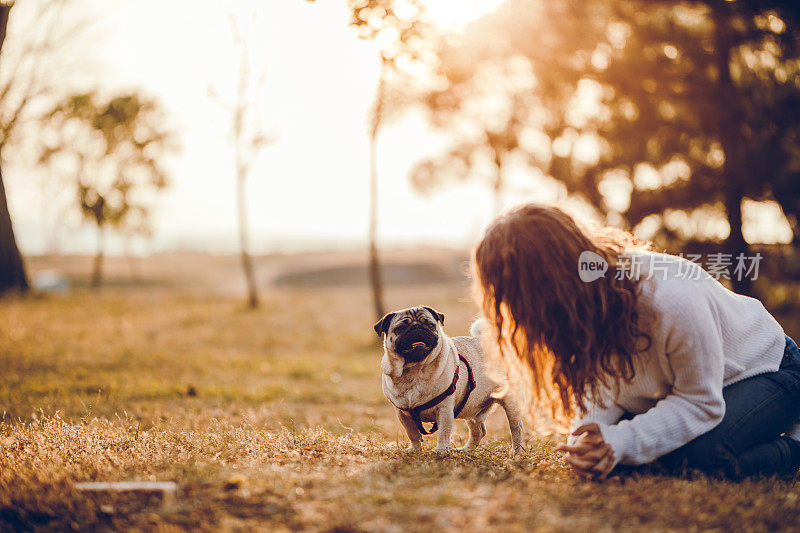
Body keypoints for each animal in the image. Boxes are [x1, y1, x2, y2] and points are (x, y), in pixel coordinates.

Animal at [376, 308, 524, 454]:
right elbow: (413, 434)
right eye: (401, 328)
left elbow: (443, 432)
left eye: (430, 325)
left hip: (511, 404)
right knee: (479, 431)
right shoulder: (403, 415)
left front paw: (441, 451)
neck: (415, 370)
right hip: (472, 407)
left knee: (516, 428)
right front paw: (414, 449)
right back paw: (467, 449)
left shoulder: (444, 410)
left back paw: (516, 452)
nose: (416, 327)